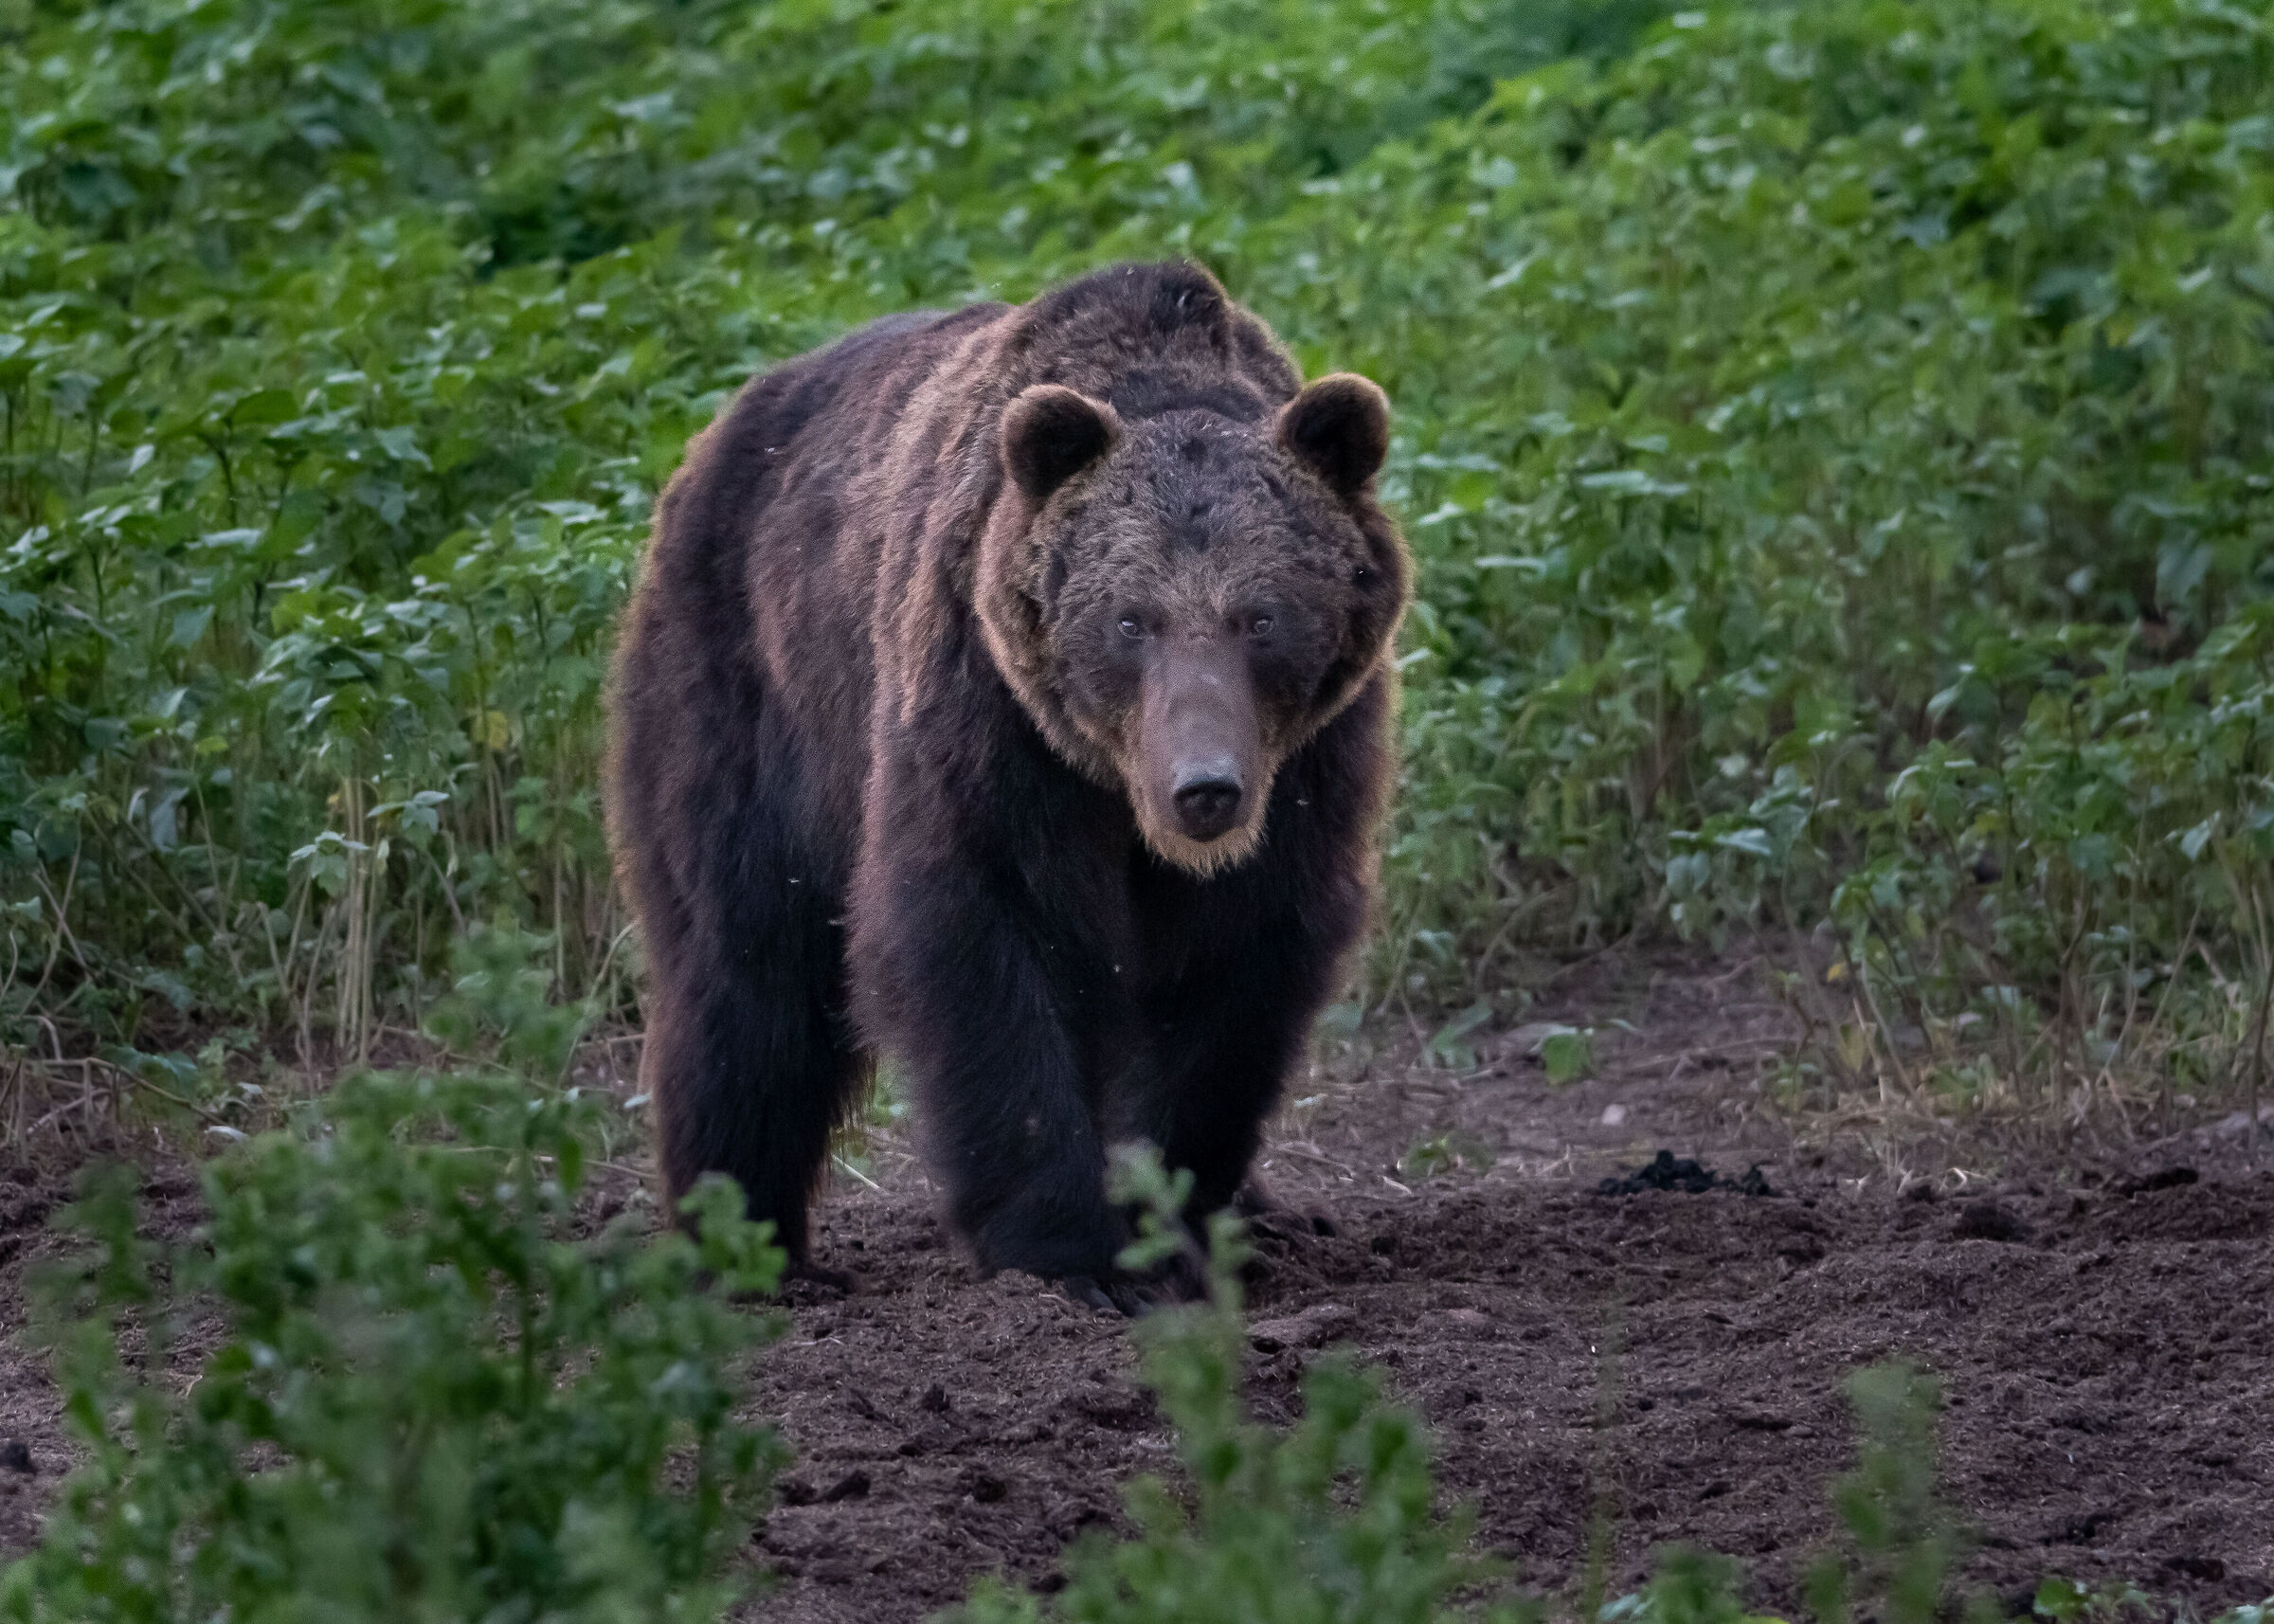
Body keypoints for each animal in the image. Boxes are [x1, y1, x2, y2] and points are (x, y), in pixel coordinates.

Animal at [606, 260, 1409, 1310]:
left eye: (1263, 616)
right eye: (1130, 620)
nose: (1205, 789)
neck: (1116, 789)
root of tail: (720, 431)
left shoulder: (1307, 767)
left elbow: (1230, 975)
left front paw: (1167, 1224)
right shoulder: (992, 716)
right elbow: (988, 932)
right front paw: (1073, 1254)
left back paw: (1272, 1211)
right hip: (746, 688)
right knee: (745, 960)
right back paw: (743, 1238)